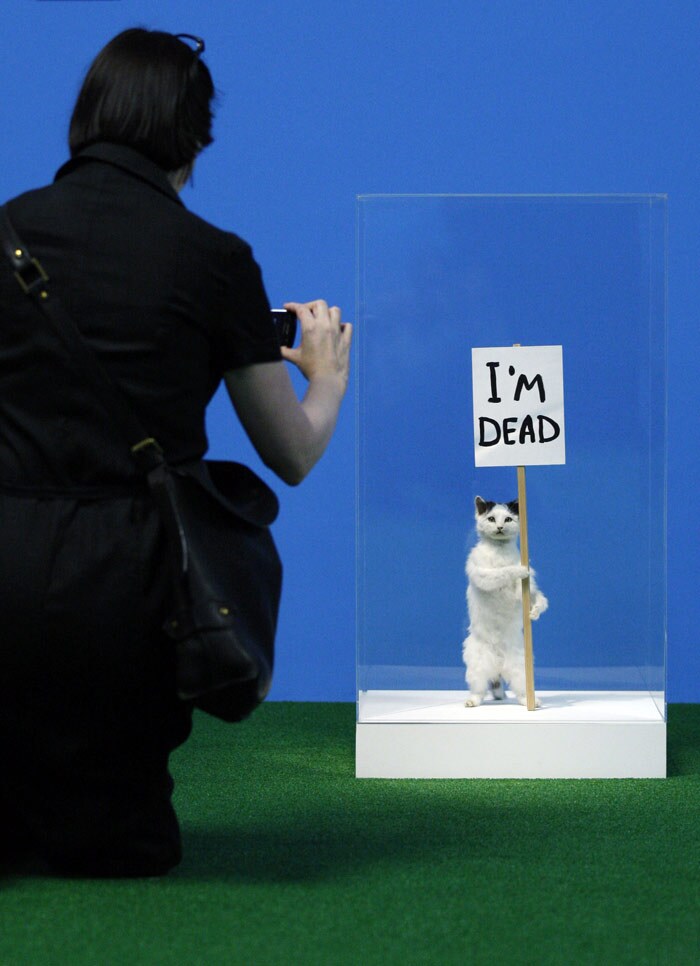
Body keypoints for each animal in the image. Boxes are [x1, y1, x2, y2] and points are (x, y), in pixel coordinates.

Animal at [462, 496, 548, 708]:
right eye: (491, 519)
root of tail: (497, 665)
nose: (500, 527)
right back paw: (472, 702)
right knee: (478, 689)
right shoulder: (484, 575)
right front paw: (522, 569)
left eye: (508, 519)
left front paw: (534, 612)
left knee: (520, 689)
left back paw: (531, 702)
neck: (500, 550)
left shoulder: (527, 592)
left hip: (520, 668)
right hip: (476, 665)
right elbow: (504, 571)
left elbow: (539, 598)